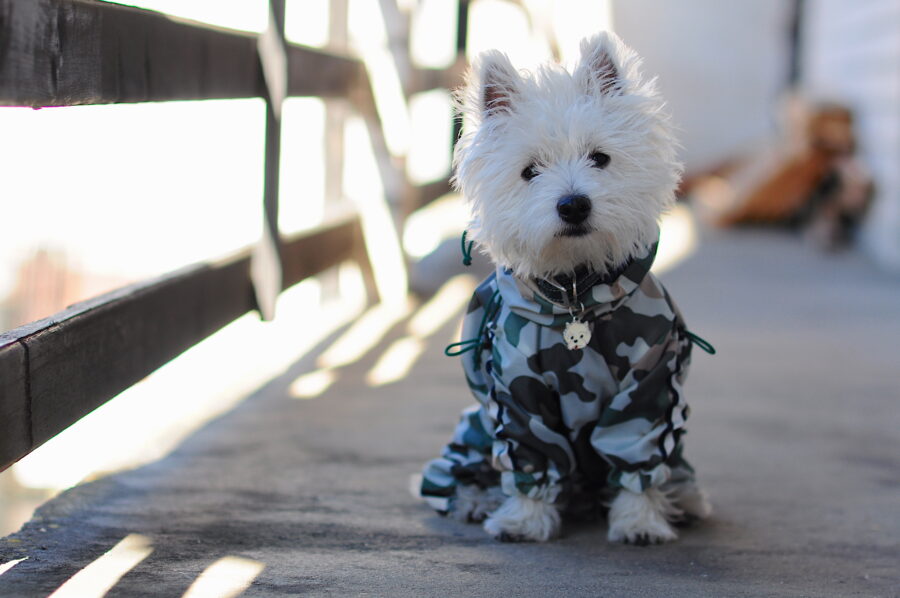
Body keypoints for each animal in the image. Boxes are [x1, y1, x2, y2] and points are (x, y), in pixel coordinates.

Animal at [420, 34, 712, 548]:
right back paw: (475, 501)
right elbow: (531, 456)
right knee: (459, 472)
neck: (576, 295)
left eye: (601, 157)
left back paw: (686, 499)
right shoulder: (517, 397)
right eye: (529, 171)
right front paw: (522, 521)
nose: (573, 204)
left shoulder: (649, 388)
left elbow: (636, 455)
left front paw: (639, 522)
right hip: (474, 428)